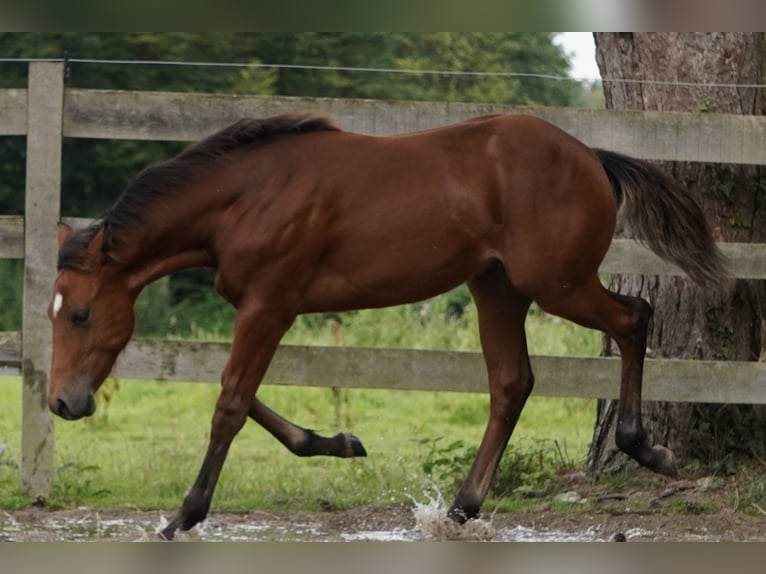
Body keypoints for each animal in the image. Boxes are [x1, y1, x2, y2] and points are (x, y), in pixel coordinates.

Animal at [49, 111, 732, 540]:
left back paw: (646, 447)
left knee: (634, 318)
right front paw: (340, 442)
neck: (246, 197)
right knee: (511, 383)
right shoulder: (268, 308)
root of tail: (591, 155)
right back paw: (460, 509)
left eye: (80, 313)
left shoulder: (269, 303)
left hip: (555, 283)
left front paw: (184, 516)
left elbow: (231, 402)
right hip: (498, 288)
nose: (62, 403)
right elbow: (242, 396)